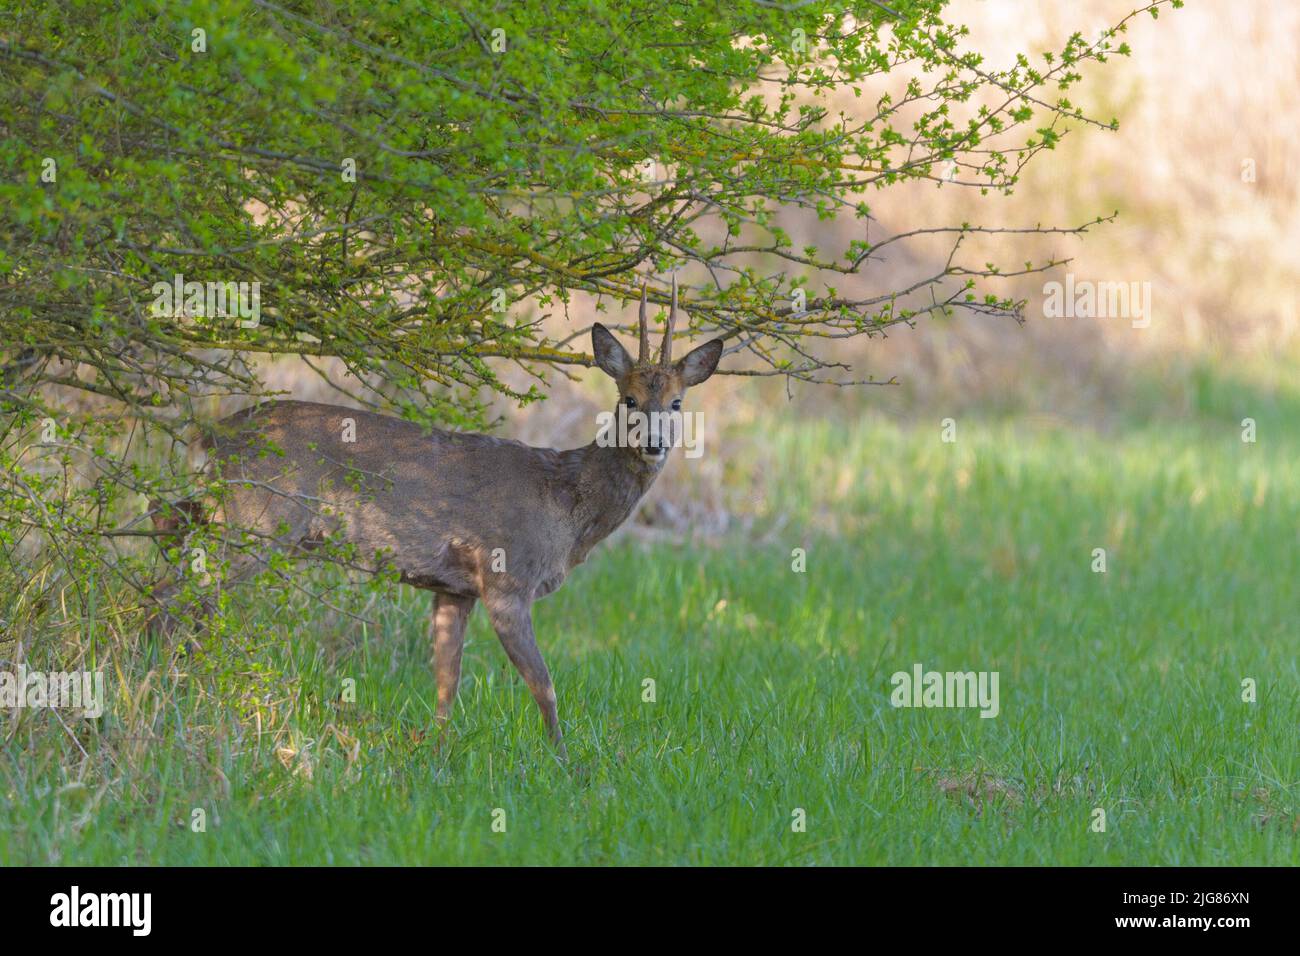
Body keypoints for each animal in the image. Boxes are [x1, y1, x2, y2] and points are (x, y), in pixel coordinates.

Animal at [153, 280, 728, 759]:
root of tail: (213, 434)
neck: (566, 504)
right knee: (175, 595)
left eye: (677, 402)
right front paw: (566, 762)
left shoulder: (455, 588)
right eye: (628, 398)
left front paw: (437, 748)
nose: (653, 444)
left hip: (224, 513)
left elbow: (446, 680)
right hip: (256, 519)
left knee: (168, 532)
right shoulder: (506, 578)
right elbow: (544, 684)